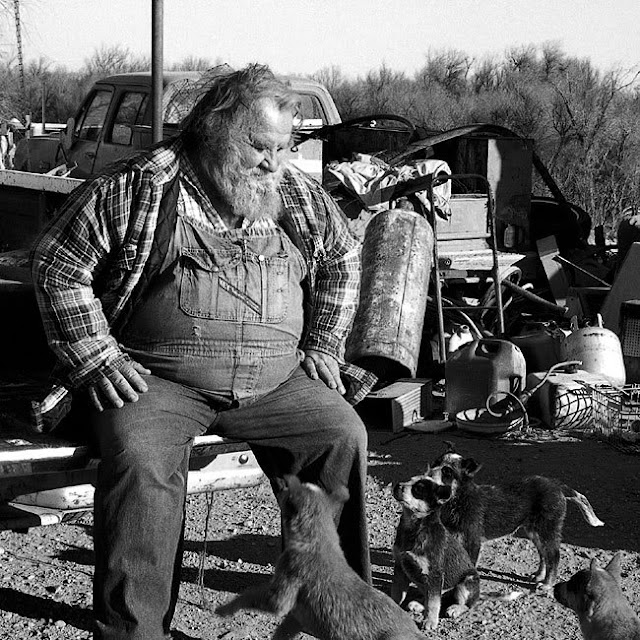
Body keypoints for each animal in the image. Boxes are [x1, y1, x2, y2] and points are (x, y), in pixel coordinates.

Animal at [216, 475, 424, 640]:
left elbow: (249, 594)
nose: (281, 483)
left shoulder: (282, 593)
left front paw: (224, 609)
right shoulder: (296, 617)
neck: (318, 540)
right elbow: (281, 632)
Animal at [392, 474, 480, 630]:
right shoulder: (400, 567)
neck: (414, 528)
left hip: (466, 582)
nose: (397, 485)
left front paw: (430, 621)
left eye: (418, 489)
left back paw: (455, 608)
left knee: (466, 605)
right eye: (409, 480)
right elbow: (397, 593)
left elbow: (433, 603)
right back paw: (418, 604)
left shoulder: (434, 575)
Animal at [426, 441, 605, 588]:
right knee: (543, 555)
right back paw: (538, 576)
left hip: (547, 529)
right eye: (434, 464)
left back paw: (547, 584)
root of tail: (556, 484)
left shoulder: (472, 541)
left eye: (447, 472)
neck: (457, 499)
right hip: (534, 531)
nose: (428, 475)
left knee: (553, 556)